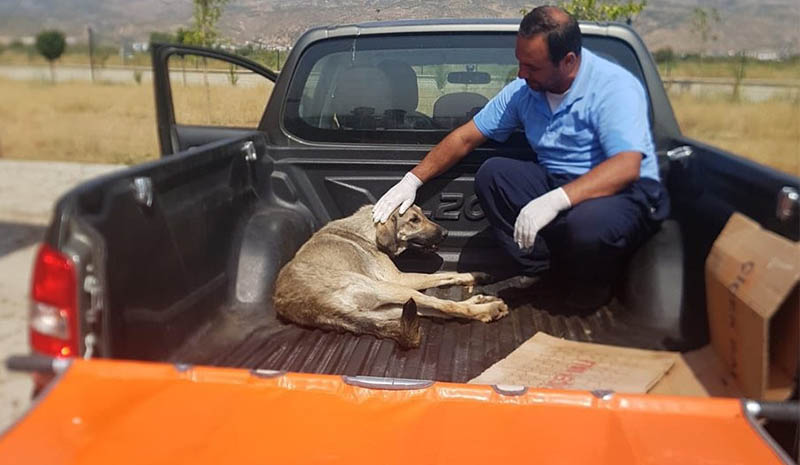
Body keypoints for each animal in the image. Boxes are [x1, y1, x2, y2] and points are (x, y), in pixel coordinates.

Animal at [272, 205, 510, 346]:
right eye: (414, 220)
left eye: (422, 214)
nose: (446, 233)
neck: (368, 230)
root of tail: (313, 308)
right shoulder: (400, 278)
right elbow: (444, 273)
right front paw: (474, 275)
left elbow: (447, 274)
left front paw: (477, 275)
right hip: (389, 289)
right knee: (445, 306)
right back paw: (487, 308)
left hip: (389, 309)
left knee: (438, 310)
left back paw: (481, 302)